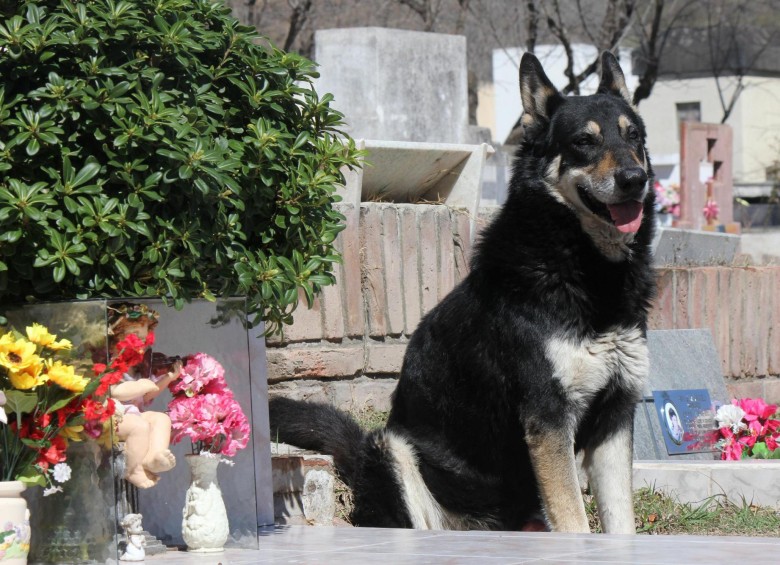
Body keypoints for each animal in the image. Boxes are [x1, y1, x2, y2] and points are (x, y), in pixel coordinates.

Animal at [272, 49, 656, 532]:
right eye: (584, 142)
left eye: (634, 135)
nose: (635, 178)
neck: (585, 267)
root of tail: (358, 457)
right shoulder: (549, 419)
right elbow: (574, 522)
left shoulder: (615, 417)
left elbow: (621, 524)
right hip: (393, 450)